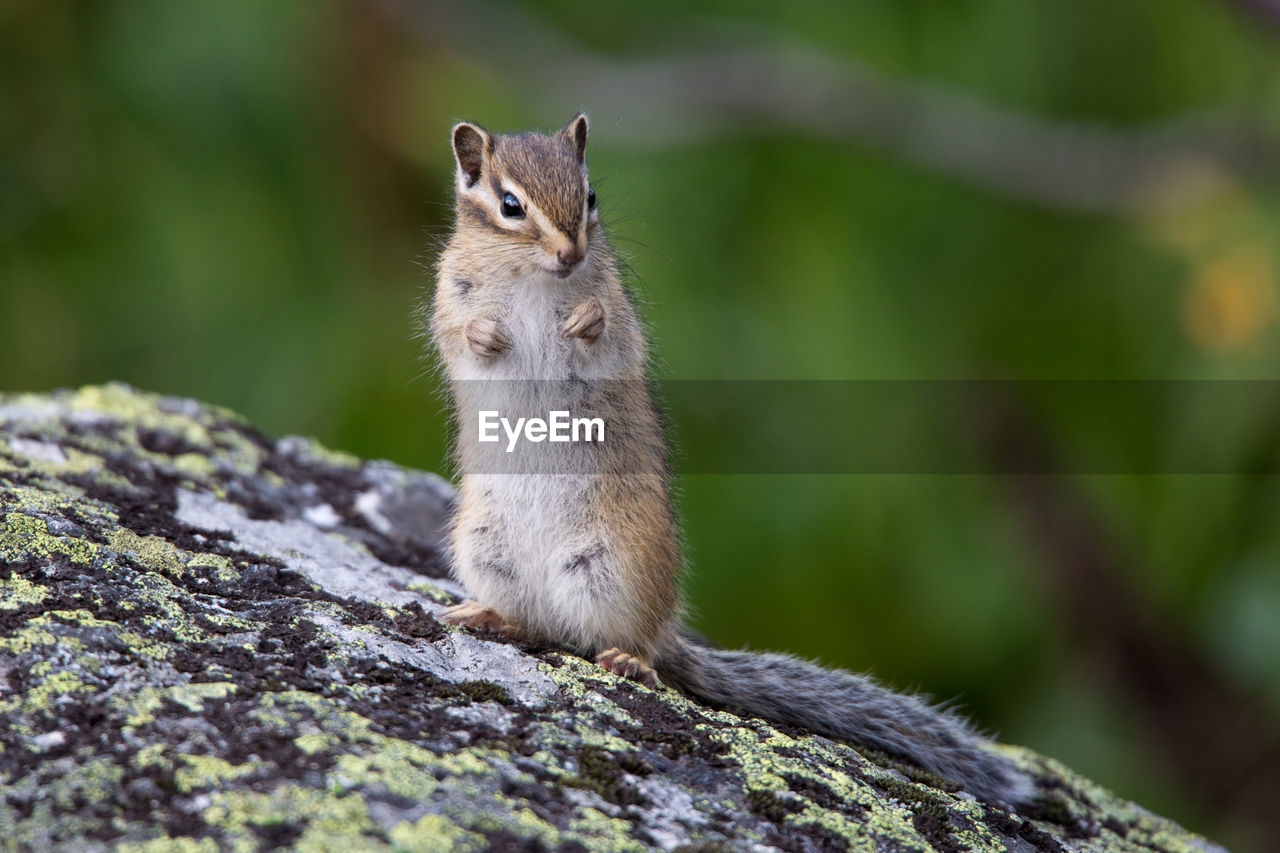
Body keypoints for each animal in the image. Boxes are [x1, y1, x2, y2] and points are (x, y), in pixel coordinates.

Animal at [424, 114, 1034, 804]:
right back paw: (490, 616)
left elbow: (612, 332)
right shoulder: (448, 297)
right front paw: (487, 334)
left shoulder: (622, 308)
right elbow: (459, 334)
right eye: (510, 206)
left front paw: (585, 320)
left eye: (590, 198)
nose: (571, 254)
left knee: (623, 643)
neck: (533, 279)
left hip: (617, 567)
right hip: (484, 547)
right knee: (537, 625)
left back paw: (629, 658)